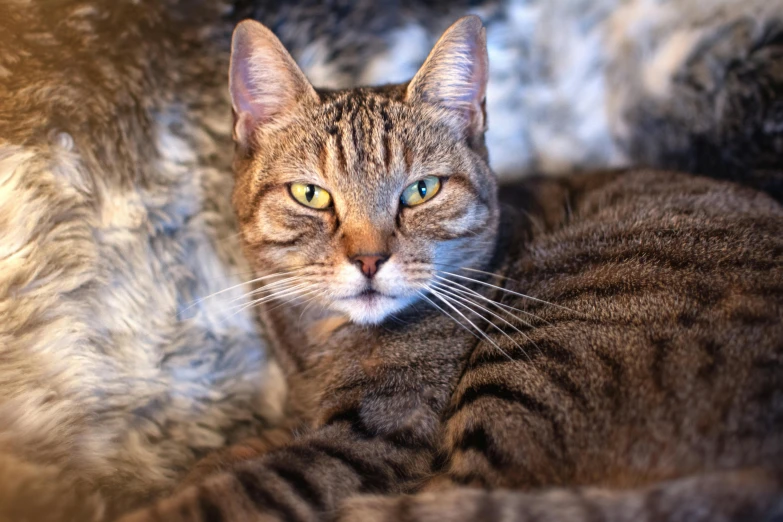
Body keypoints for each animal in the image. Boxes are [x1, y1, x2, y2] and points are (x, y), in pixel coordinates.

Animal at [118, 16, 783, 520]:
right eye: (311, 194)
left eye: (422, 190)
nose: (368, 259)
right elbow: (219, 461)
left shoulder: (371, 442)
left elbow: (226, 493)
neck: (322, 346)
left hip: (546, 337)